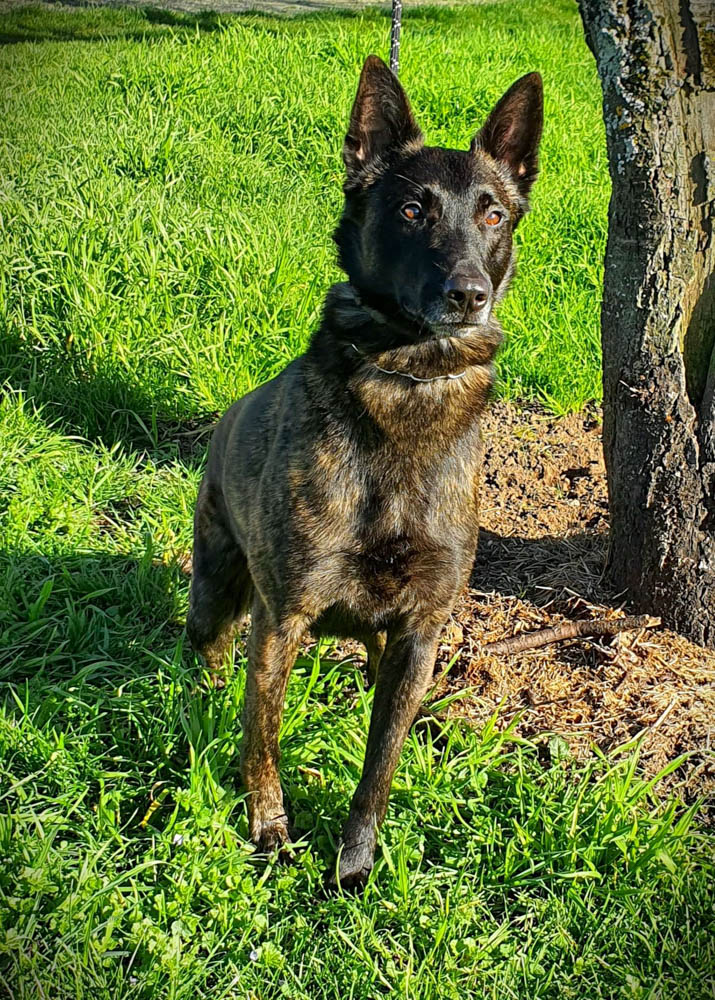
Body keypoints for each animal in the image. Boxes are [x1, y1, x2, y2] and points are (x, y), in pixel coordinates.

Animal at [187, 55, 542, 889]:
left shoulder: (417, 632)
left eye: (492, 217)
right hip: (216, 592)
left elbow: (379, 766)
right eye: (412, 211)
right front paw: (270, 831)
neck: (410, 381)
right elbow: (261, 740)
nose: (468, 295)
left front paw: (354, 865)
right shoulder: (280, 620)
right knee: (207, 662)